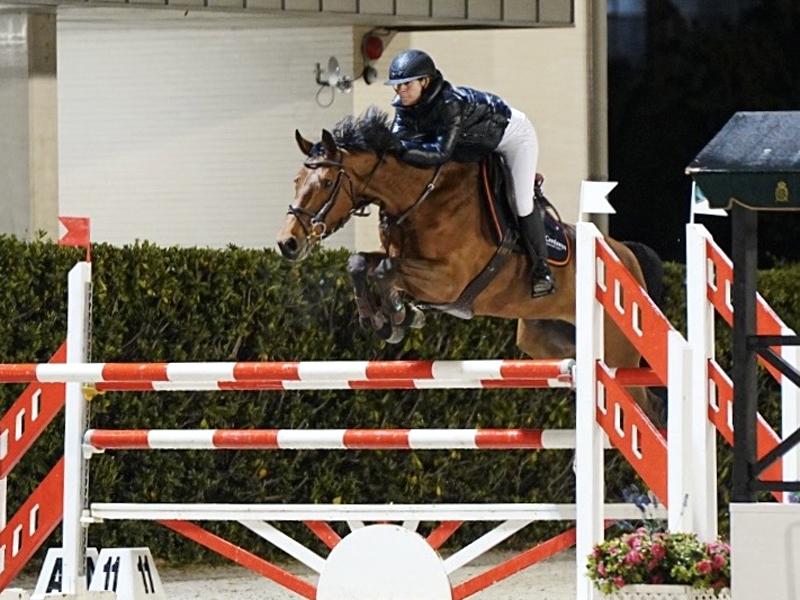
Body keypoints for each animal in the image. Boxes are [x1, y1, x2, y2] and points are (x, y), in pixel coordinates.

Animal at [277, 108, 665, 423]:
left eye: (327, 182)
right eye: (296, 181)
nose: (287, 242)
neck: (422, 198)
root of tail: (624, 253)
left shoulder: (446, 281)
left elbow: (386, 271)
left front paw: (398, 317)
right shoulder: (404, 261)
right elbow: (359, 263)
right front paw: (386, 319)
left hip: (617, 353)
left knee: (647, 405)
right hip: (544, 340)